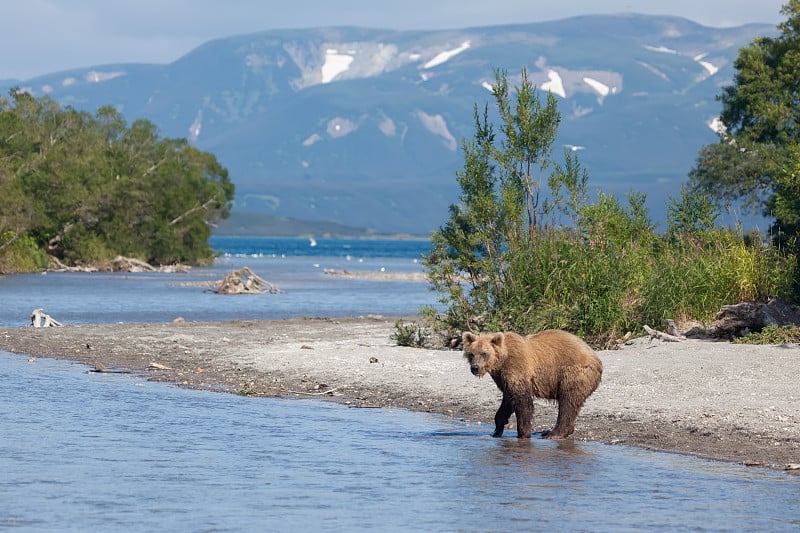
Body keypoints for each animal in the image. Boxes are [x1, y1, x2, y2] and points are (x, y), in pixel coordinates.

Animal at [460, 330, 604, 438]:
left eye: (484, 353)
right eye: (471, 354)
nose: (475, 368)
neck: (501, 361)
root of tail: (596, 358)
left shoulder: (517, 367)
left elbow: (523, 401)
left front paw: (523, 434)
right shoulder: (503, 378)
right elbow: (508, 401)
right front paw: (497, 430)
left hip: (573, 373)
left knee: (568, 402)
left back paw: (554, 433)